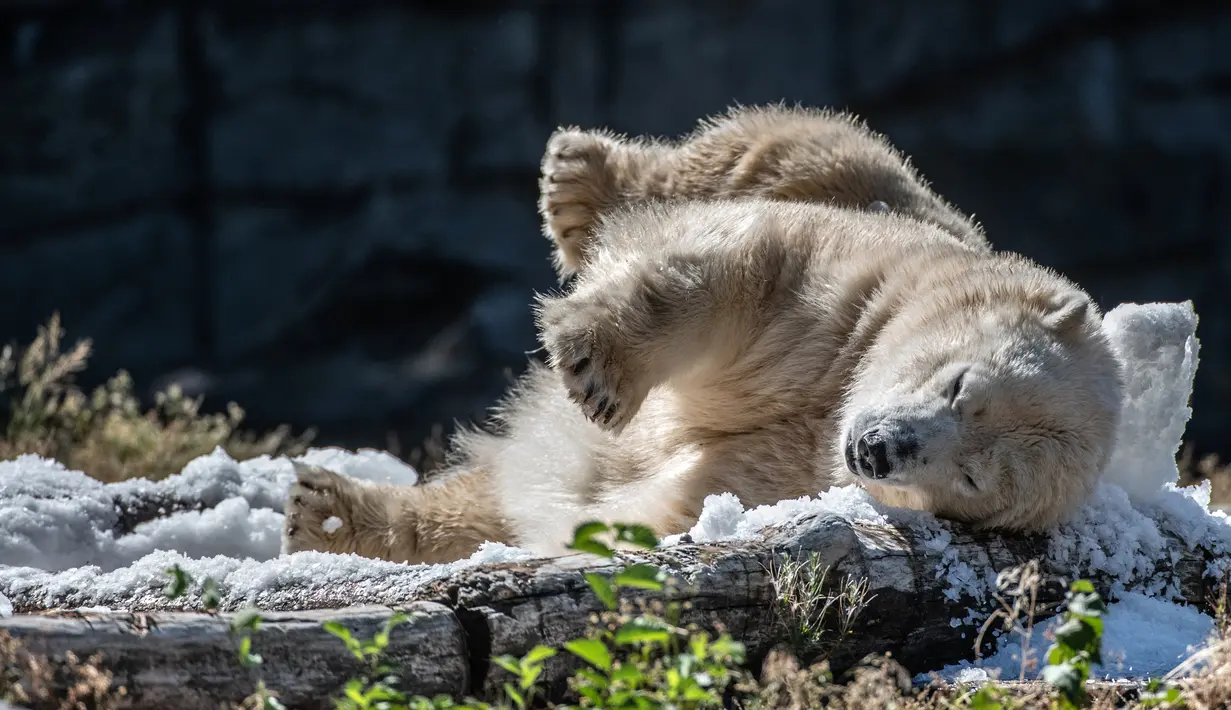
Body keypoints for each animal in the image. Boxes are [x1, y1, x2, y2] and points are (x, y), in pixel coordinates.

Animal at [281, 194, 1127, 566]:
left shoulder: (785, 475)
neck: (829, 415)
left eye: (974, 479)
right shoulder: (848, 299)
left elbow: (655, 502)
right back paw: (328, 510)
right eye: (959, 386)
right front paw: (597, 369)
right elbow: (746, 265)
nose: (880, 450)